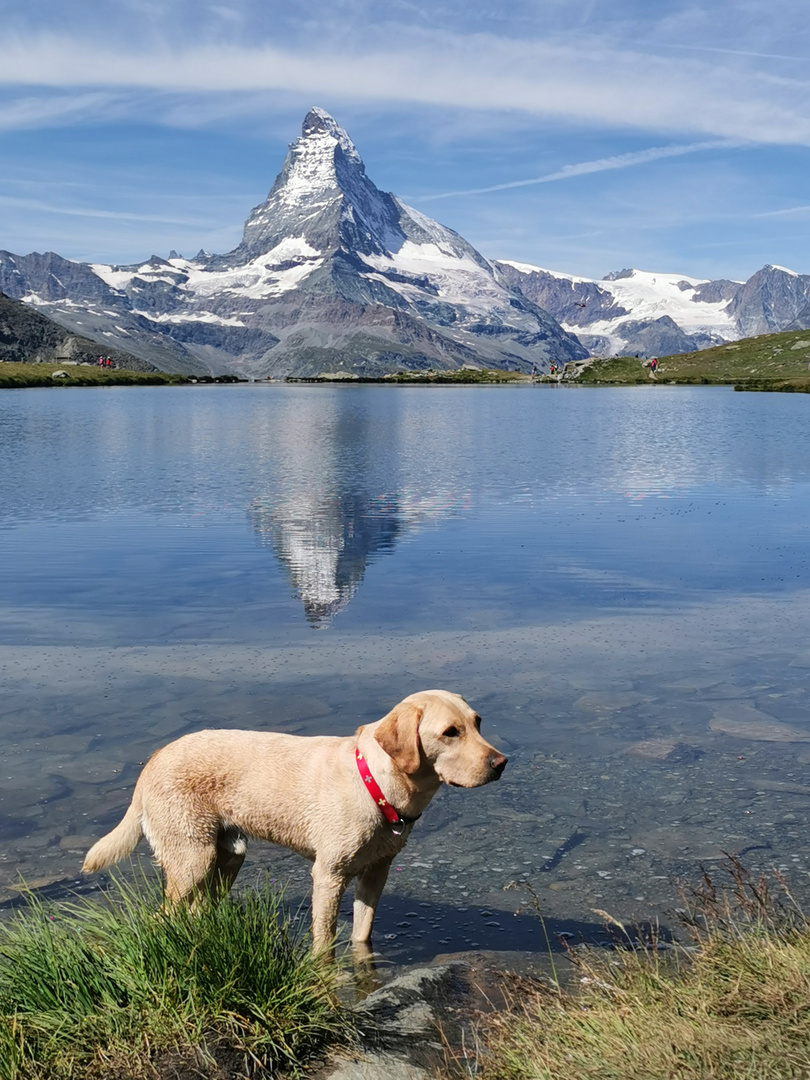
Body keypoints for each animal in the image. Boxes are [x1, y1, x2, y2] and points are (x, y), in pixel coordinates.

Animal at [85, 691, 509, 954]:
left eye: (478, 723)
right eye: (449, 733)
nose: (501, 763)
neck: (375, 783)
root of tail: (153, 759)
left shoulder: (376, 873)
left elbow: (362, 933)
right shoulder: (329, 875)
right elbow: (324, 940)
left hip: (228, 855)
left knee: (196, 911)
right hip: (192, 858)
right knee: (163, 917)